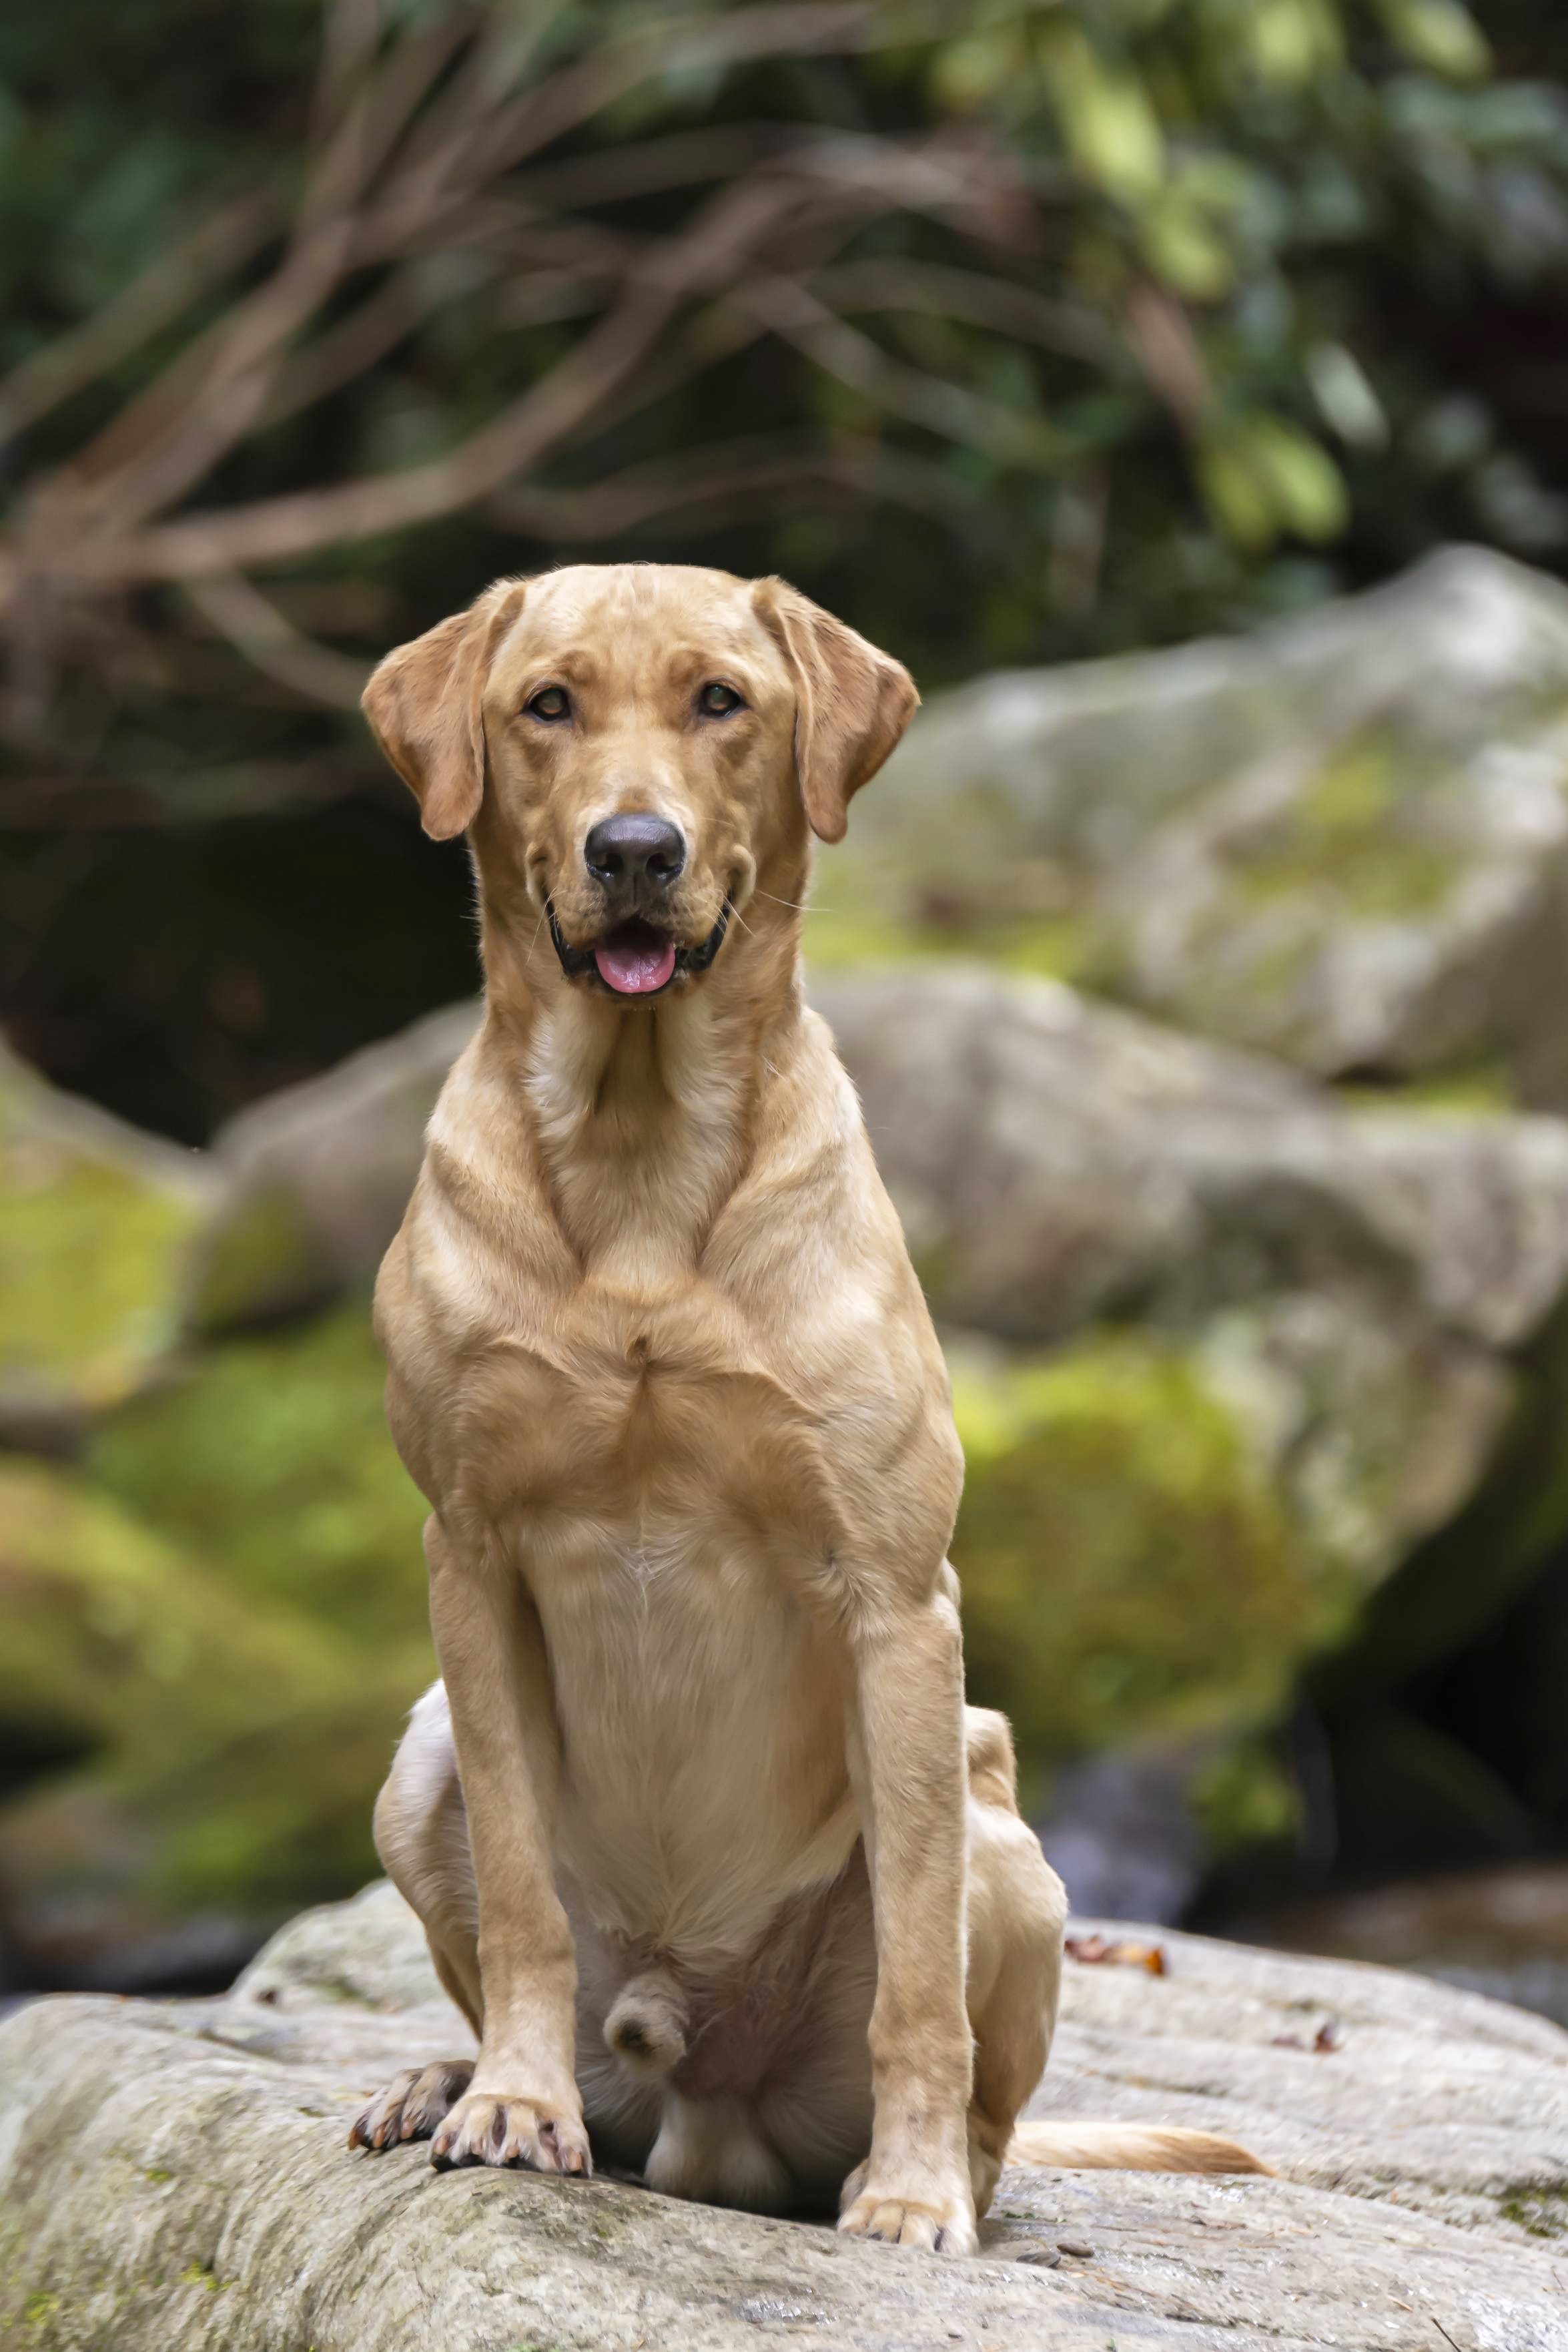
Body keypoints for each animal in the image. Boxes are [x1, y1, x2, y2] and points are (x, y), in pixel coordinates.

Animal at [350, 559, 1269, 2248]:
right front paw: (509, 2102)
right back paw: (450, 2079)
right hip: (418, 1759)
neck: (640, 1145)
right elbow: (518, 1895)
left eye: (720, 700)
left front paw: (906, 2195)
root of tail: (704, 2103)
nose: (631, 850)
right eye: (548, 704)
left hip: (1000, 1825)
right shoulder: (472, 1554)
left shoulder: (892, 1596)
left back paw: (926, 2172)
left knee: (974, 2072)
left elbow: (915, 1975)